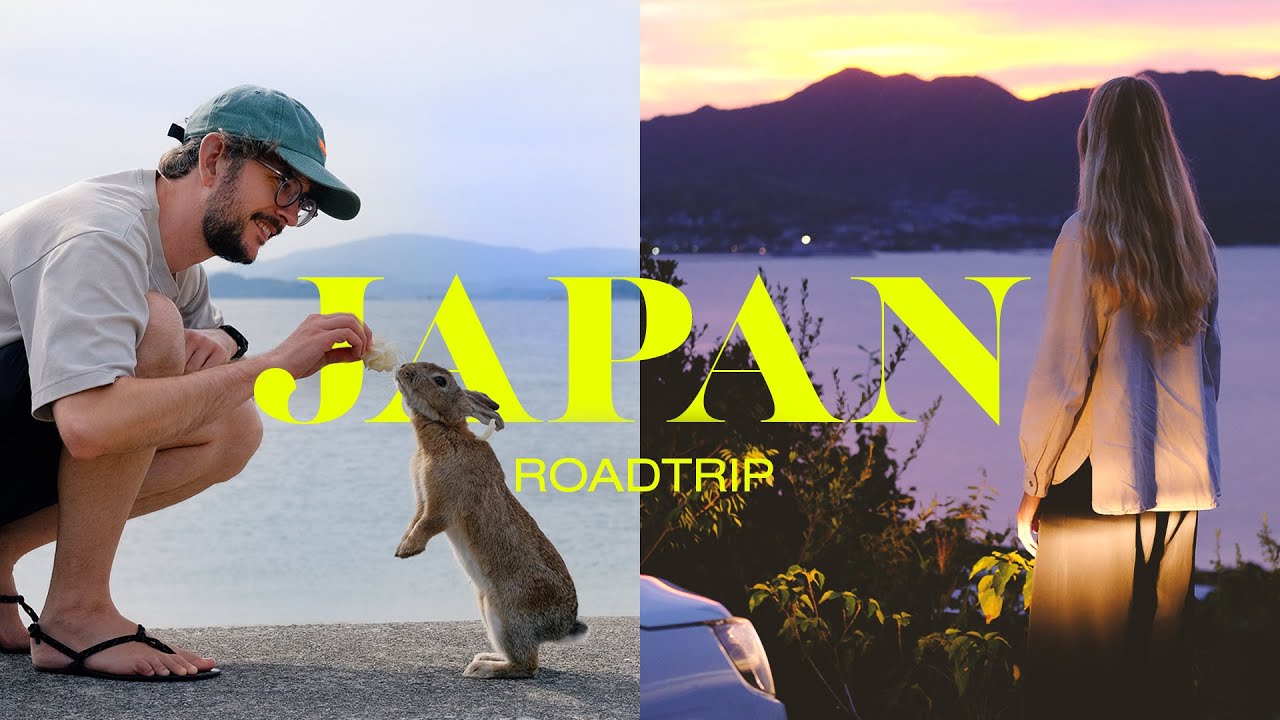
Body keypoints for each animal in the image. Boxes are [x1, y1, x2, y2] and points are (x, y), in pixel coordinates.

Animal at [393, 361, 588, 679]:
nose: (402, 369)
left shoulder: (442, 504)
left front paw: (408, 551)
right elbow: (415, 520)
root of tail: (561, 627)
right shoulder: (422, 499)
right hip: (485, 606)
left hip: (504, 614)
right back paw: (485, 658)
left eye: (440, 381)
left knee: (527, 666)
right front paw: (401, 546)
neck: (446, 429)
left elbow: (428, 524)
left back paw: (481, 668)